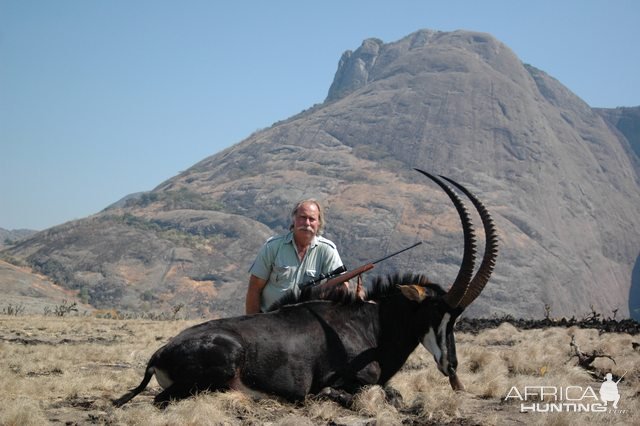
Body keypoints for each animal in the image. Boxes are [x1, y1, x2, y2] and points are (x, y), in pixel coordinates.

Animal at [112, 170, 498, 410]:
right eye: (436, 312)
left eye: (457, 318)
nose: (451, 366)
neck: (370, 324)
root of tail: (158, 354)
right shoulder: (349, 380)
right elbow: (382, 394)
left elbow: (398, 394)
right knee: (166, 401)